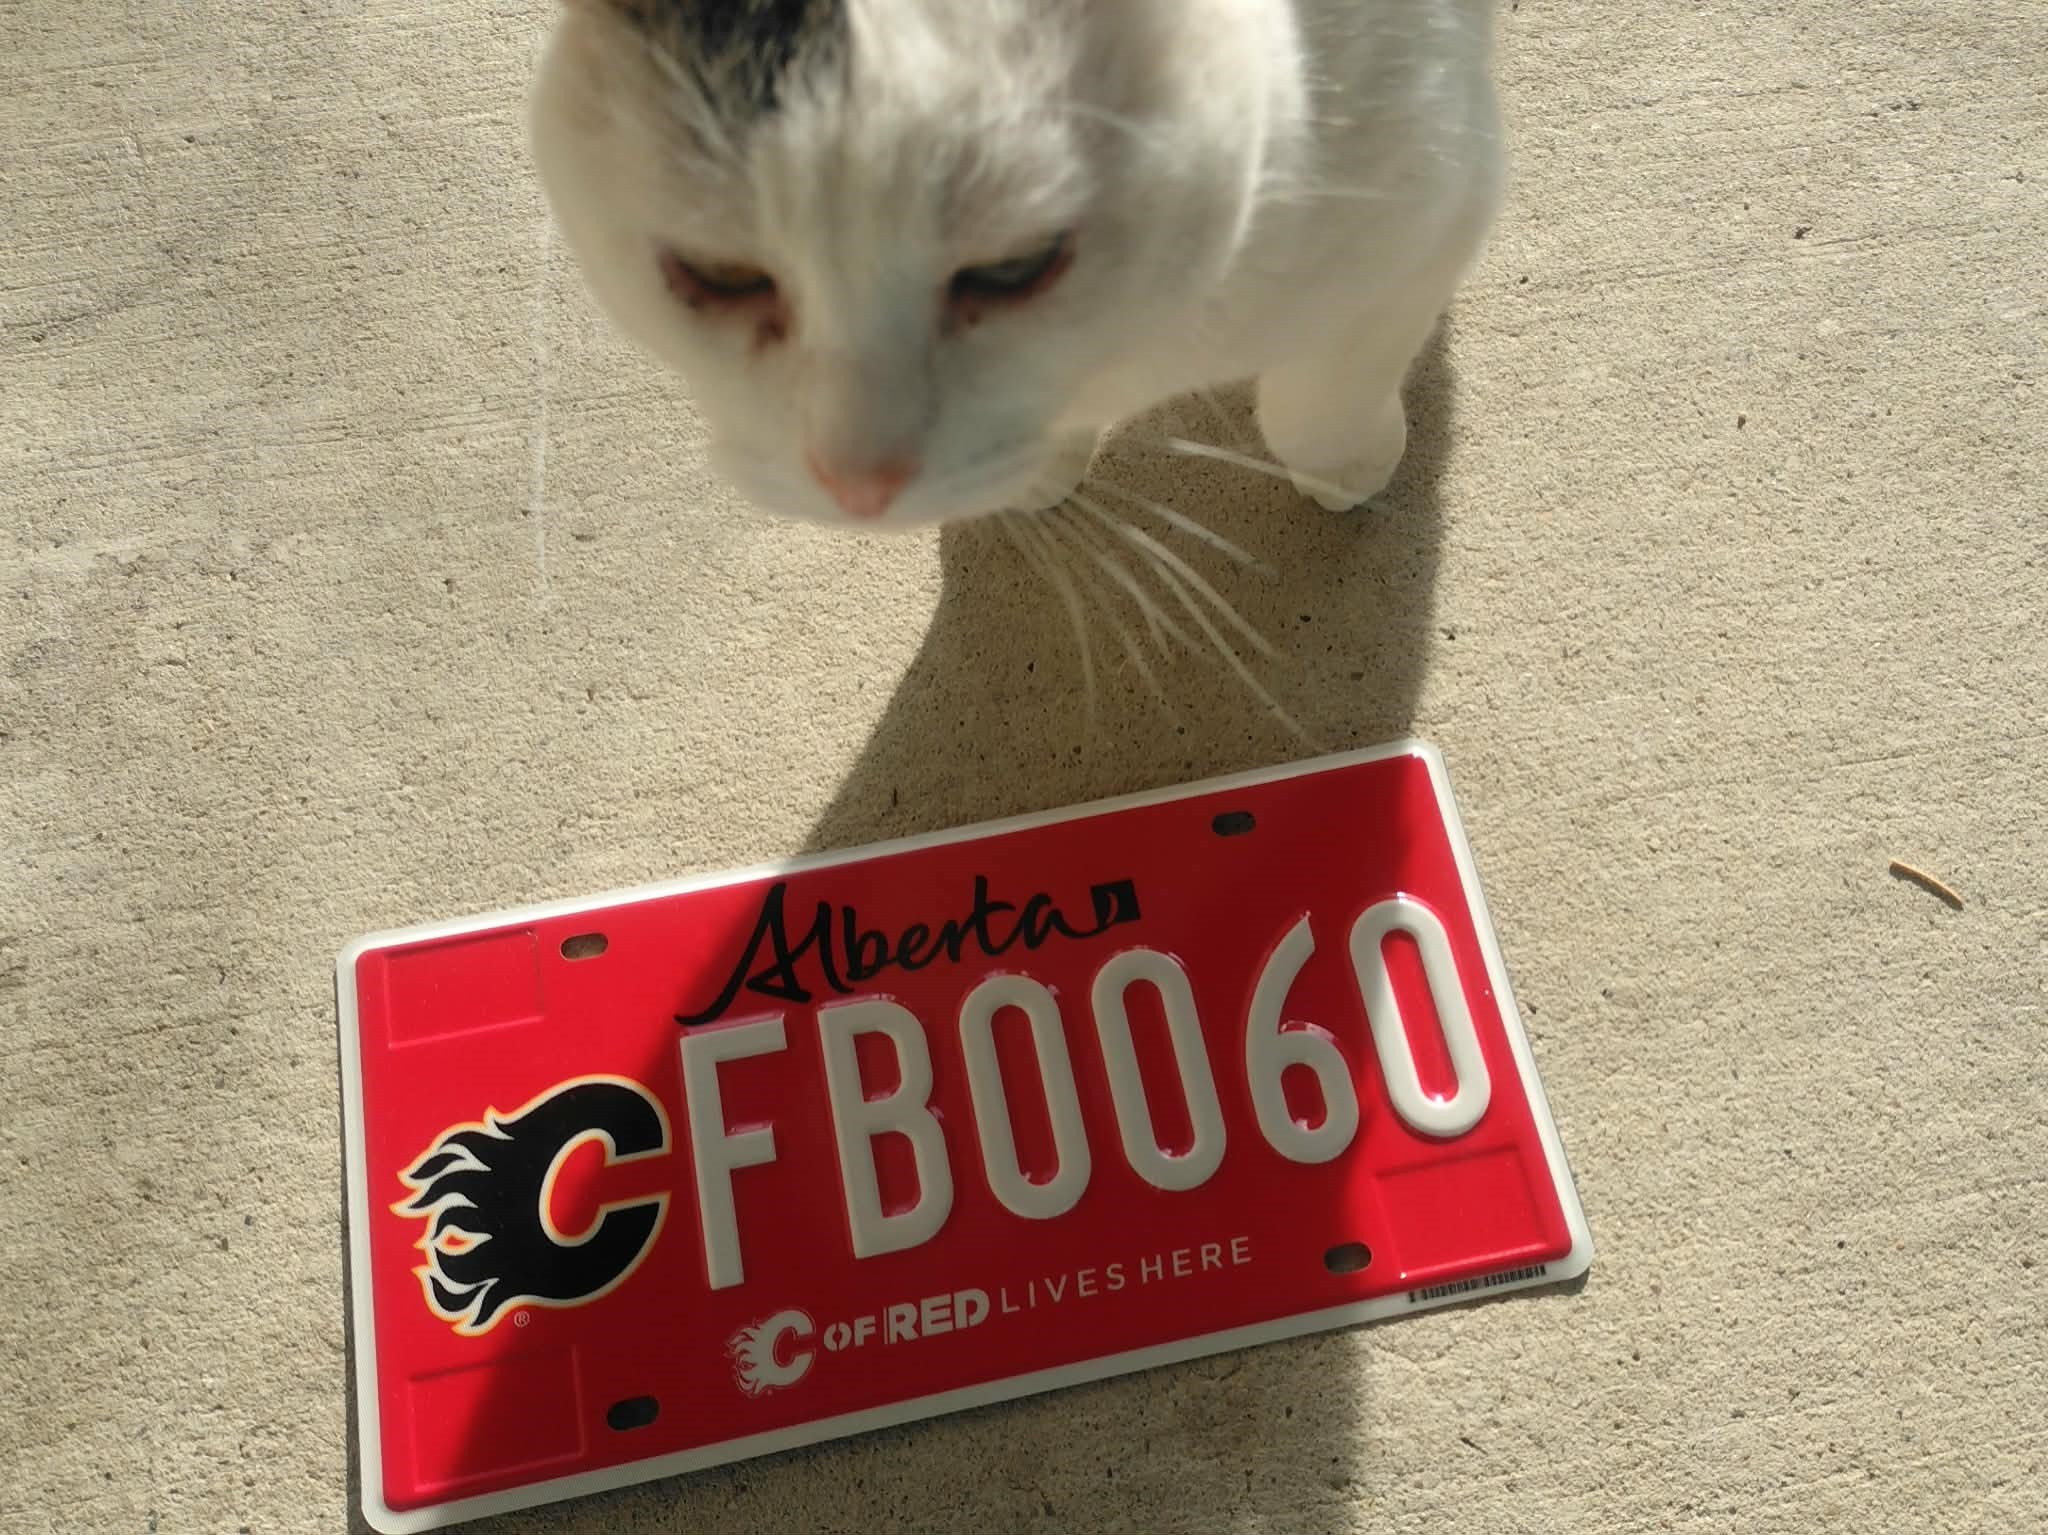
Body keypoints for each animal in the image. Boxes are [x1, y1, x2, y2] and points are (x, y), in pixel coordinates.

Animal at [529, 0, 1502, 529]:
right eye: (720, 275)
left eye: (1014, 266)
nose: (858, 485)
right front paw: (1036, 468)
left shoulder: (1434, 208)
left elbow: (1321, 399)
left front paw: (1349, 469)